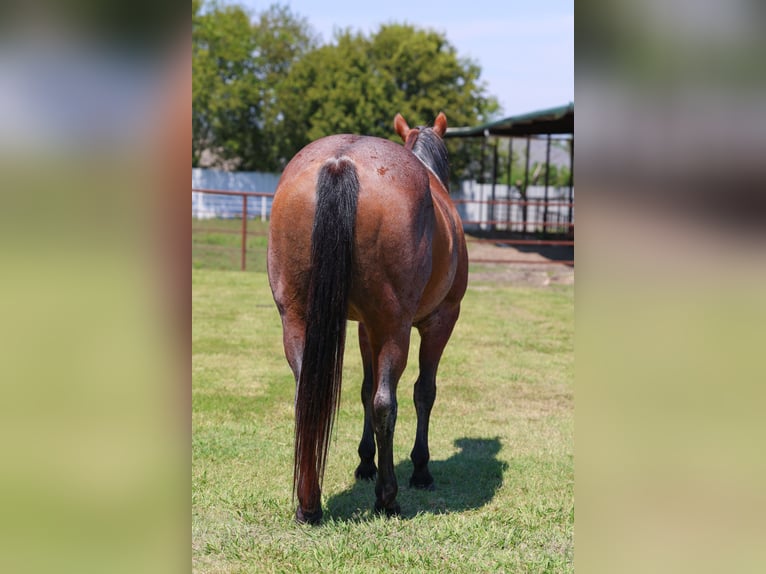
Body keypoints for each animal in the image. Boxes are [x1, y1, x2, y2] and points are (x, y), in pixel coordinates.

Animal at [267, 112, 468, 524]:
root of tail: (340, 161)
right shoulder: (440, 319)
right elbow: (423, 392)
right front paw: (421, 469)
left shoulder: (362, 326)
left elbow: (362, 389)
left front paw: (364, 464)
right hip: (395, 326)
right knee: (385, 404)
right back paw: (388, 498)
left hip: (296, 319)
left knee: (304, 401)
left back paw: (308, 504)